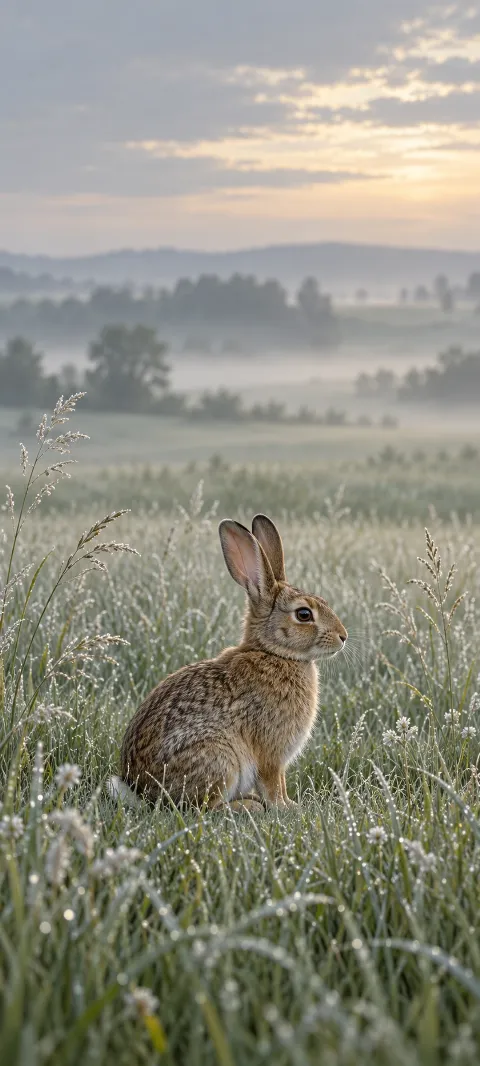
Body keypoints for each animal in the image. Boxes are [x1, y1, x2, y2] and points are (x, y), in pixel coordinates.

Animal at [119, 514, 347, 811]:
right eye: (304, 614)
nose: (343, 636)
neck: (274, 653)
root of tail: (141, 790)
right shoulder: (271, 753)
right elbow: (274, 784)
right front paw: (286, 808)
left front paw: (290, 804)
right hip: (221, 759)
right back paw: (247, 806)